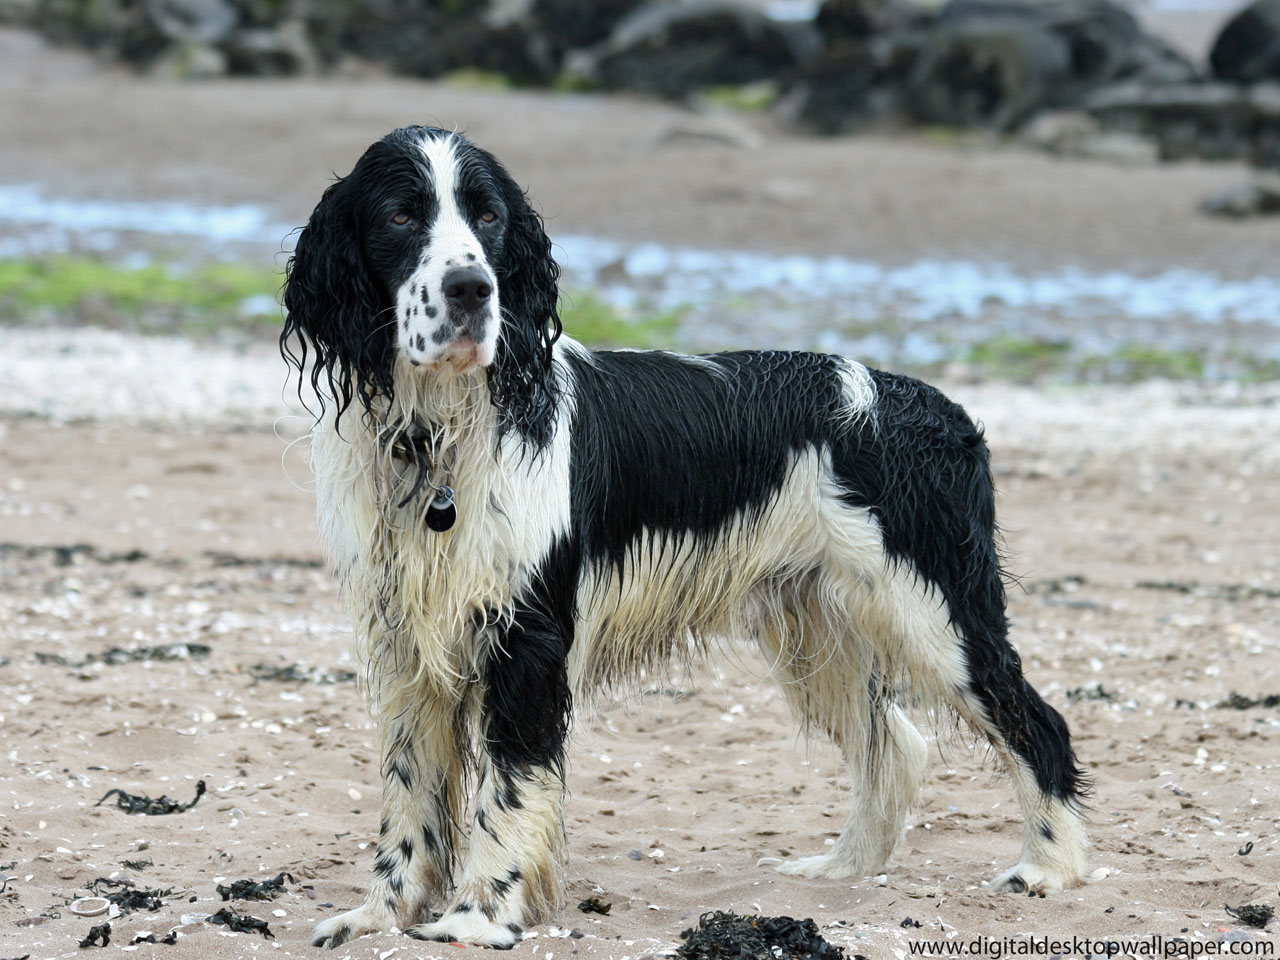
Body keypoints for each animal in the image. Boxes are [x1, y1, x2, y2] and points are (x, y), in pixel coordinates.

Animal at [285, 128, 1085, 957]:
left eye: (489, 216)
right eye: (401, 215)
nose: (472, 289)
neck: (437, 434)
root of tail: (941, 410)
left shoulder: (526, 639)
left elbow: (508, 788)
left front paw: (479, 916)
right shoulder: (408, 646)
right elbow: (410, 795)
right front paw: (382, 914)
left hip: (934, 613)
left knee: (1038, 724)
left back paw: (1046, 868)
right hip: (814, 629)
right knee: (894, 748)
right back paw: (842, 869)